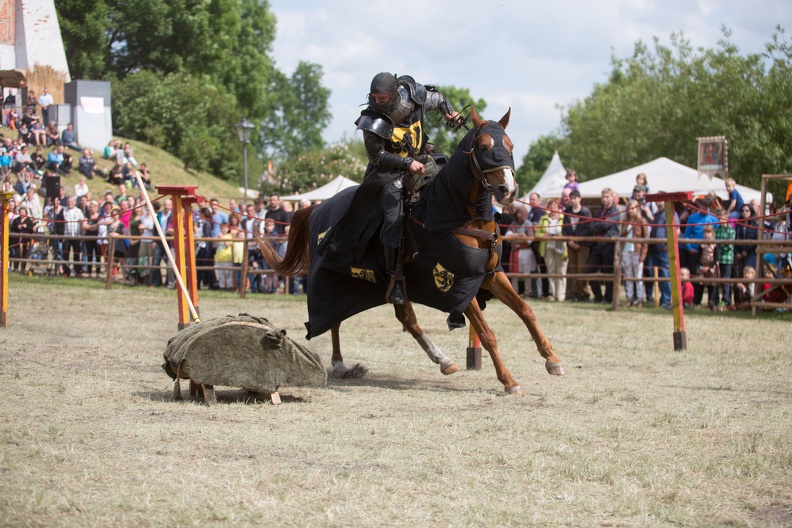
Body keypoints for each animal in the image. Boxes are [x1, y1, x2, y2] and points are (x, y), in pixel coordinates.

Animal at [258, 109, 564, 394]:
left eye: (510, 145)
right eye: (484, 146)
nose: (508, 190)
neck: (457, 213)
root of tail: (317, 207)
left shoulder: (491, 274)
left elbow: (526, 311)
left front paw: (552, 359)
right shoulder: (459, 283)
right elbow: (487, 334)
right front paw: (508, 380)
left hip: (390, 282)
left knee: (404, 319)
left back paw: (443, 360)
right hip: (333, 276)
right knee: (332, 317)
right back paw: (341, 365)